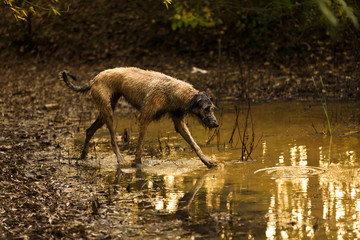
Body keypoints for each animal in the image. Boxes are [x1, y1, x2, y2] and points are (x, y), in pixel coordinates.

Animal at [59, 67, 218, 169]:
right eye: (206, 109)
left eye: (213, 108)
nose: (216, 124)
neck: (172, 91)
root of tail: (94, 79)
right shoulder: (144, 118)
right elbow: (140, 144)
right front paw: (136, 163)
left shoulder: (180, 123)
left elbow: (194, 145)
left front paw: (207, 161)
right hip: (108, 114)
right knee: (112, 139)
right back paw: (120, 159)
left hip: (105, 112)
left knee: (89, 130)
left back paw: (83, 157)